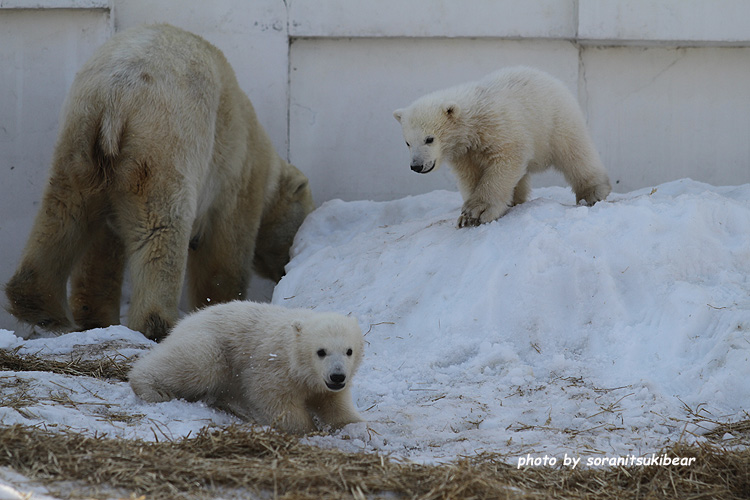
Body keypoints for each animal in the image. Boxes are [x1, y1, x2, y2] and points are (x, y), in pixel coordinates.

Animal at [5, 24, 314, 340]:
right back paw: (157, 324)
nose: (285, 270)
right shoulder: (237, 174)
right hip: (164, 142)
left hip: (79, 140)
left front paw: (96, 317)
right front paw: (221, 306)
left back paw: (40, 306)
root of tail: (116, 93)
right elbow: (225, 253)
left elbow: (102, 246)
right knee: (162, 226)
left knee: (64, 210)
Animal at [131, 300, 366, 434]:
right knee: (198, 364)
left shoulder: (324, 386)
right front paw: (310, 429)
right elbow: (274, 400)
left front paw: (356, 425)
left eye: (349, 351)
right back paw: (152, 388)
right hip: (213, 346)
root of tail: (184, 322)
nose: (337, 376)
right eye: (321, 351)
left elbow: (335, 404)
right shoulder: (274, 368)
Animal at [394, 66, 612, 227]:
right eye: (407, 142)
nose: (417, 165)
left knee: (574, 153)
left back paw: (594, 192)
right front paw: (466, 217)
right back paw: (515, 200)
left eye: (429, 139)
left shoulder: (498, 128)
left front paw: (478, 211)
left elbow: (506, 162)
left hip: (555, 121)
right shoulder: (464, 153)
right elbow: (469, 177)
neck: (473, 121)